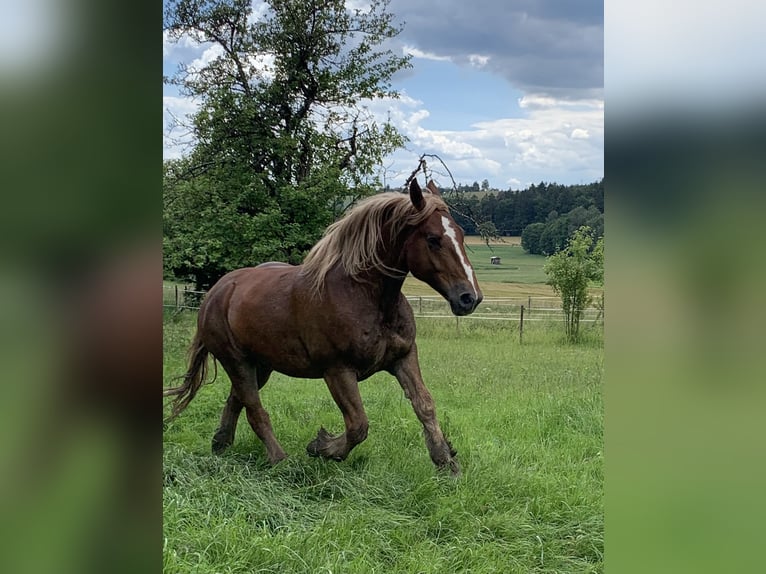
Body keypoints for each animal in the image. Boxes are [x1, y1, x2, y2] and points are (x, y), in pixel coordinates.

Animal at [165, 180, 484, 476]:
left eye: (461, 234)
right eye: (433, 239)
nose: (470, 297)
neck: (366, 296)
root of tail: (215, 292)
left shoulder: (403, 358)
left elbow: (425, 406)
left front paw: (446, 462)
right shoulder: (338, 370)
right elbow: (358, 425)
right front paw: (322, 447)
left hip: (260, 366)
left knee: (236, 400)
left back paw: (221, 445)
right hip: (237, 361)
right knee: (255, 411)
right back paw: (281, 461)